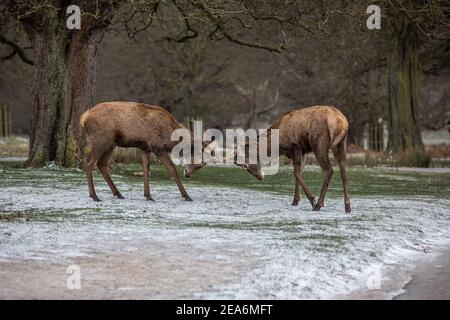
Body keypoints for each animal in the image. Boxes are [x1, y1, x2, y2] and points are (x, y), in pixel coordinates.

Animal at [185, 105, 350, 214]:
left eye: (245, 166)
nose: (260, 177)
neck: (276, 143)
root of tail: (341, 122)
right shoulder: (303, 151)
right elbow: (299, 174)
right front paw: (295, 201)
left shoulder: (295, 147)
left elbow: (296, 174)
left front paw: (311, 199)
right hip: (341, 144)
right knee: (343, 172)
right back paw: (347, 206)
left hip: (319, 144)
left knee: (329, 170)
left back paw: (318, 205)